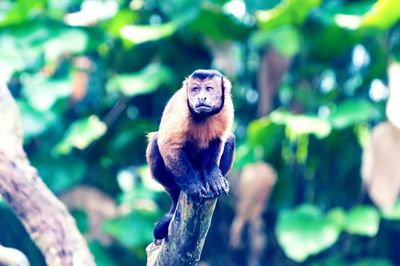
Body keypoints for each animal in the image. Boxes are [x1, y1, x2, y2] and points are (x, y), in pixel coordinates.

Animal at [146, 68, 234, 241]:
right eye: (195, 90)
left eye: (209, 89)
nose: (201, 97)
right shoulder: (181, 107)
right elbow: (168, 145)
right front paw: (193, 186)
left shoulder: (227, 107)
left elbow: (219, 140)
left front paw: (214, 177)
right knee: (155, 143)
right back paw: (177, 191)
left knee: (230, 139)